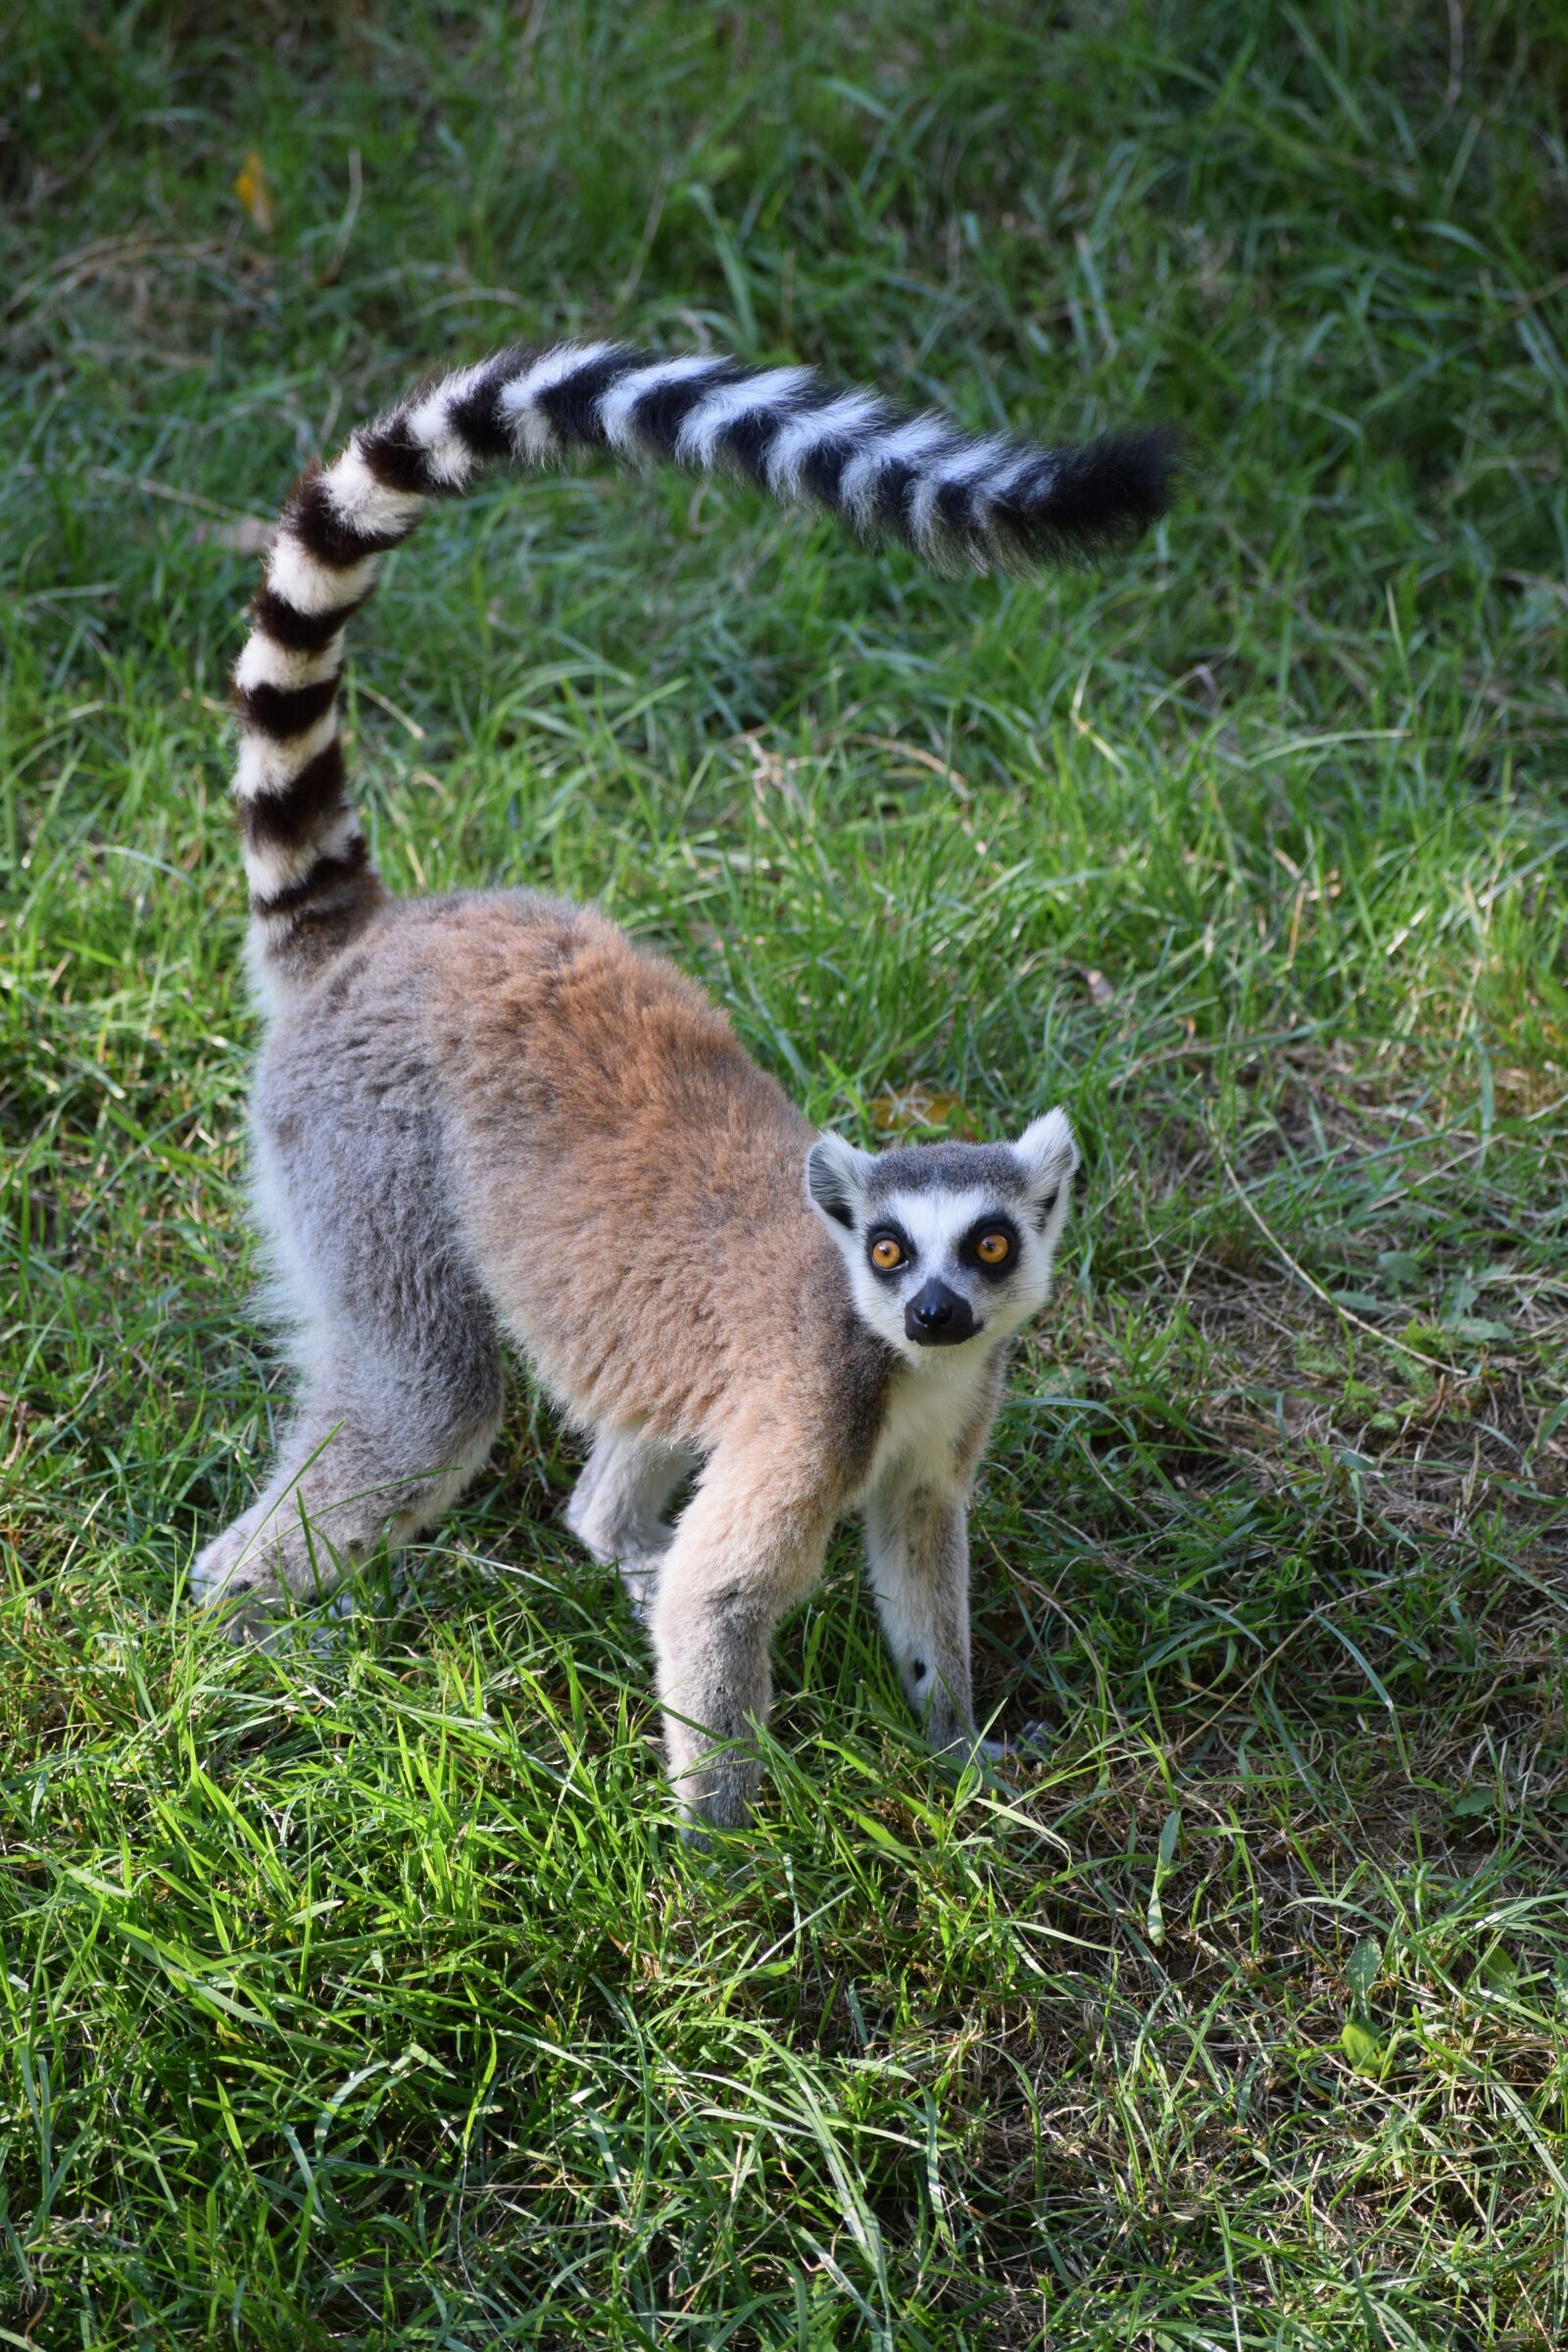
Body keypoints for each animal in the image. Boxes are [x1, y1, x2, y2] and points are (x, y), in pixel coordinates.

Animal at [192, 336, 1177, 1830]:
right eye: (891, 1253)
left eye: (992, 1245)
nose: (939, 1309)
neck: (902, 1367)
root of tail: (380, 934)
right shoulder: (815, 1405)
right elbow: (722, 1600)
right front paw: (733, 1862)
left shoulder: (943, 1426)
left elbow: (918, 1555)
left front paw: (959, 1756)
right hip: (360, 1147)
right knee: (425, 1398)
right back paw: (230, 1632)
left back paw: (608, 1539)